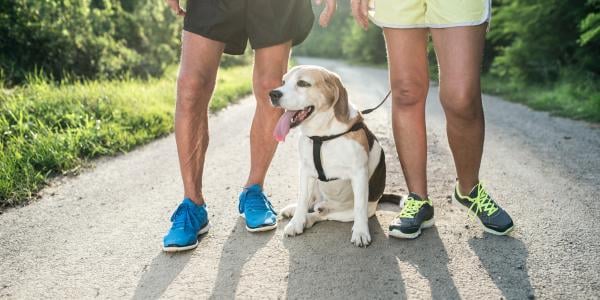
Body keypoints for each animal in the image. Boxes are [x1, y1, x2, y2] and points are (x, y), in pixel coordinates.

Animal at [268, 65, 384, 246]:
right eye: (283, 82)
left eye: (303, 83)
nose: (273, 94)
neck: (322, 135)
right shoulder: (305, 170)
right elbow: (302, 199)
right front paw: (296, 222)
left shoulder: (359, 174)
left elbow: (359, 207)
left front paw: (360, 232)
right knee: (311, 202)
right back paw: (295, 211)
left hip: (350, 212)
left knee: (323, 214)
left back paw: (312, 217)